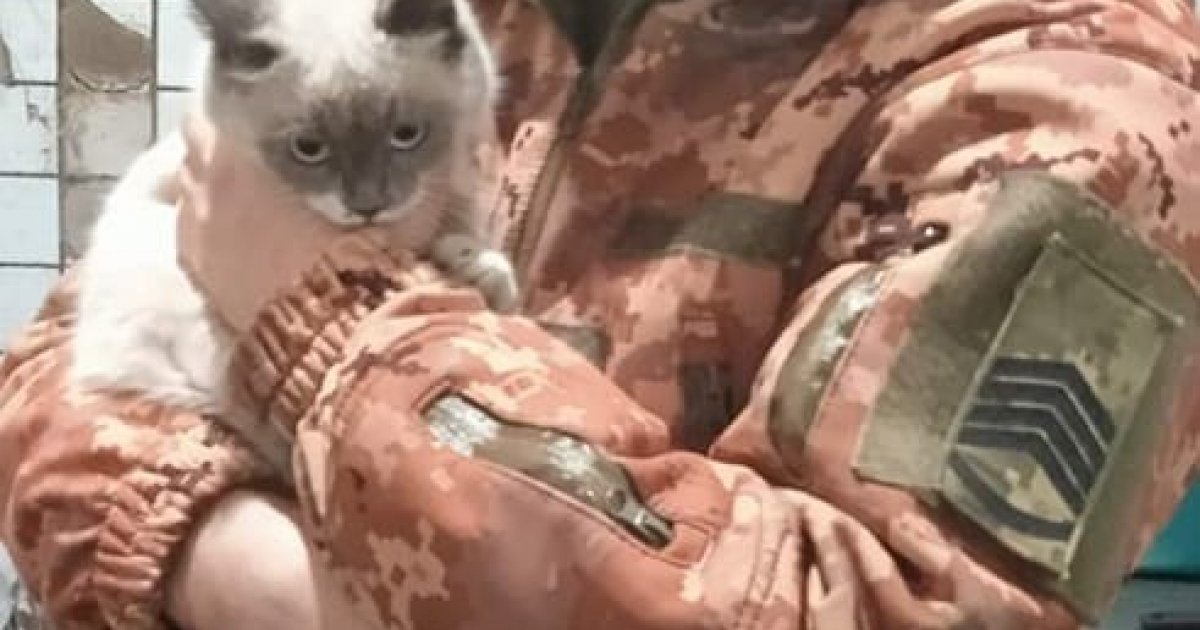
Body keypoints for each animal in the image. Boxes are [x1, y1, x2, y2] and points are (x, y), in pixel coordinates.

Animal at [69, 0, 518, 477]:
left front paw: (475, 266)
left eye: (406, 134)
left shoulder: (458, 191)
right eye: (309, 148)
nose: (368, 205)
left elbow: (475, 251)